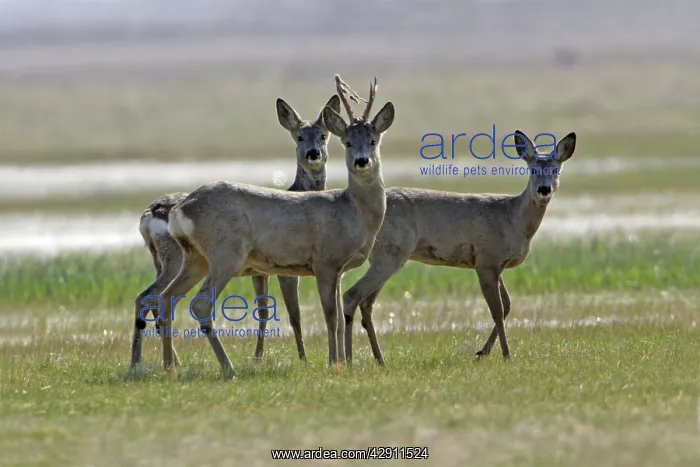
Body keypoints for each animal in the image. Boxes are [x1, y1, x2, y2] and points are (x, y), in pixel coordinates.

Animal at [129, 93, 342, 370]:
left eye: (323, 135)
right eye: (299, 136)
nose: (313, 154)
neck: (298, 191)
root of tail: (149, 215)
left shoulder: (260, 272)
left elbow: (263, 310)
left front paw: (259, 357)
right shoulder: (285, 270)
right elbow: (293, 314)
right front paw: (302, 359)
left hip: (164, 261)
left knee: (147, 297)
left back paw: (146, 363)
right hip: (176, 259)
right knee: (153, 297)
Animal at [153, 75, 395, 374]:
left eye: (373, 141)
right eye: (347, 142)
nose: (362, 161)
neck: (352, 212)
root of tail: (182, 208)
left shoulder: (338, 269)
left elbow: (338, 317)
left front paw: (339, 362)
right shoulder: (325, 261)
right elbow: (330, 316)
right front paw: (333, 363)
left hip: (195, 257)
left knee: (166, 298)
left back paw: (169, 367)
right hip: (226, 252)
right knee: (199, 305)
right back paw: (228, 368)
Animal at [338, 130, 577, 365]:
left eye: (556, 169)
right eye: (532, 169)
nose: (544, 189)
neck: (514, 218)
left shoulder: (495, 264)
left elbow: (507, 305)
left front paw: (482, 353)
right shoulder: (487, 260)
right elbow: (497, 311)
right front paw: (506, 355)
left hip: (386, 257)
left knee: (366, 303)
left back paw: (379, 359)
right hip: (390, 254)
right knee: (353, 295)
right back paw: (350, 360)